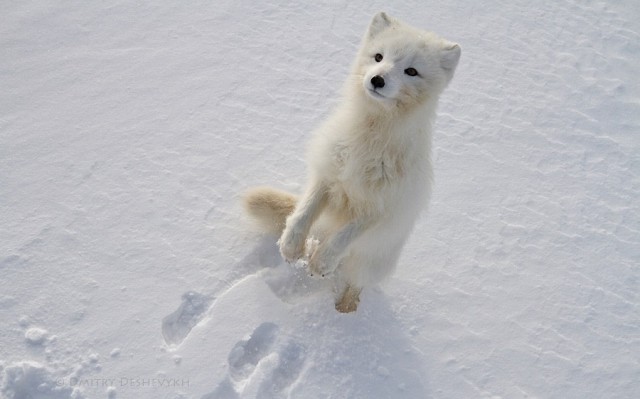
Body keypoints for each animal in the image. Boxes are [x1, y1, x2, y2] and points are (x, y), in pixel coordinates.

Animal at [244, 11, 460, 312]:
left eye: (411, 71)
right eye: (379, 56)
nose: (377, 80)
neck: (368, 138)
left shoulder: (380, 209)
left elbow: (344, 237)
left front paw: (322, 263)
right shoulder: (327, 173)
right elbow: (303, 212)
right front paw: (291, 246)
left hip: (371, 263)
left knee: (355, 282)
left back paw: (345, 309)